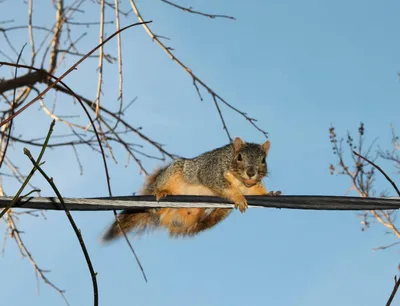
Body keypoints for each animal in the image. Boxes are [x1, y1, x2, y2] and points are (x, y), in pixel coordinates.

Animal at [101, 137, 280, 241]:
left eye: (263, 160)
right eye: (239, 157)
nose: (251, 172)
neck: (240, 181)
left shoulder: (251, 186)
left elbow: (257, 191)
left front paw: (271, 193)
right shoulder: (211, 171)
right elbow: (223, 185)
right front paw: (238, 197)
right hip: (172, 174)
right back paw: (161, 192)